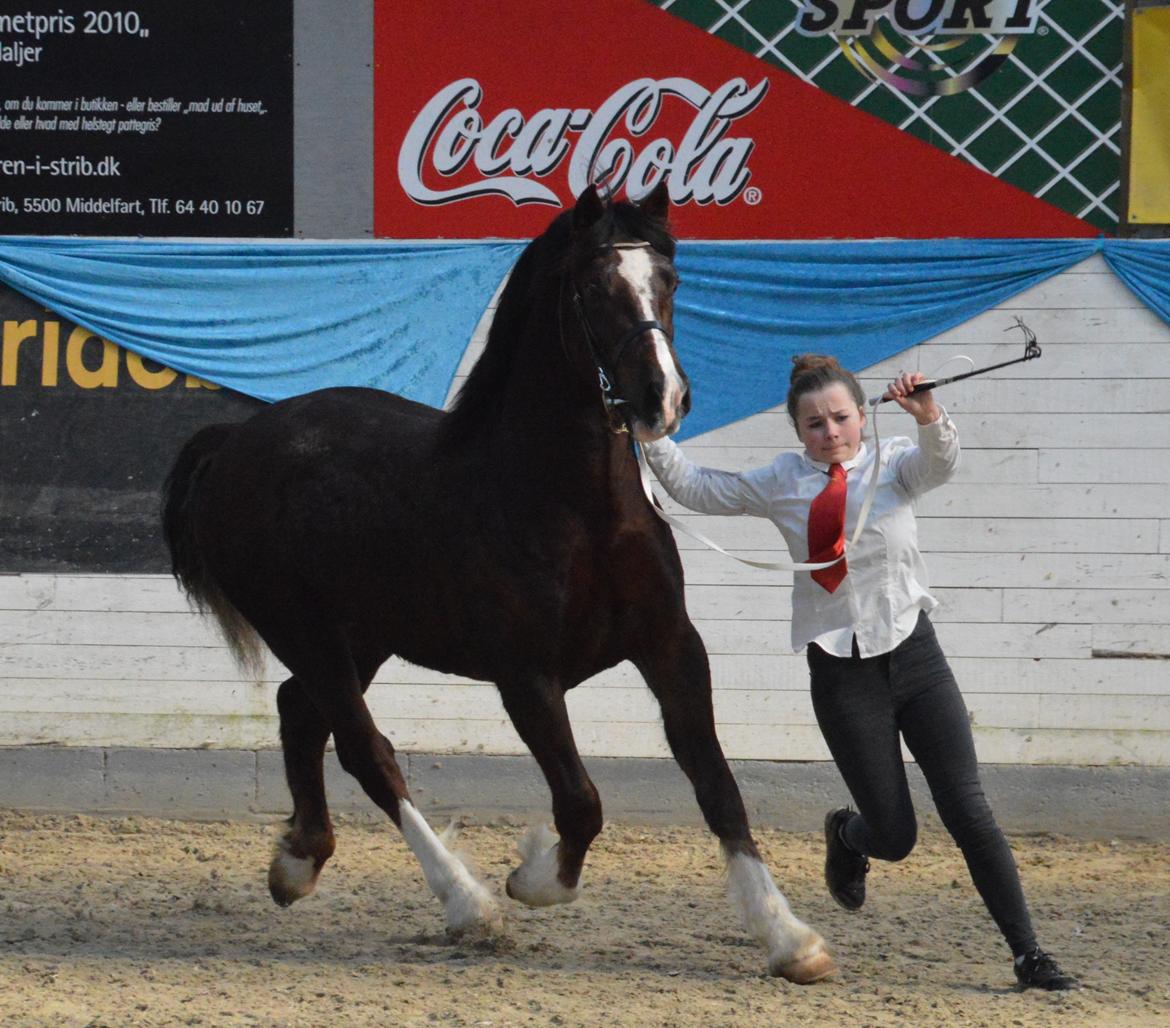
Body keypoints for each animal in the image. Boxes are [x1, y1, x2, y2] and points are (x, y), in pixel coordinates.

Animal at [162, 182, 833, 982]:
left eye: (669, 282)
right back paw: (467, 905)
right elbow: (580, 802)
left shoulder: (672, 650)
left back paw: (298, 863)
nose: (660, 398)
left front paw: (790, 938)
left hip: (363, 638)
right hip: (305, 630)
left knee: (300, 712)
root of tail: (237, 442)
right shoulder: (527, 676)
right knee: (366, 751)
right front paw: (533, 875)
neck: (577, 508)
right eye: (593, 288)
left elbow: (720, 790)